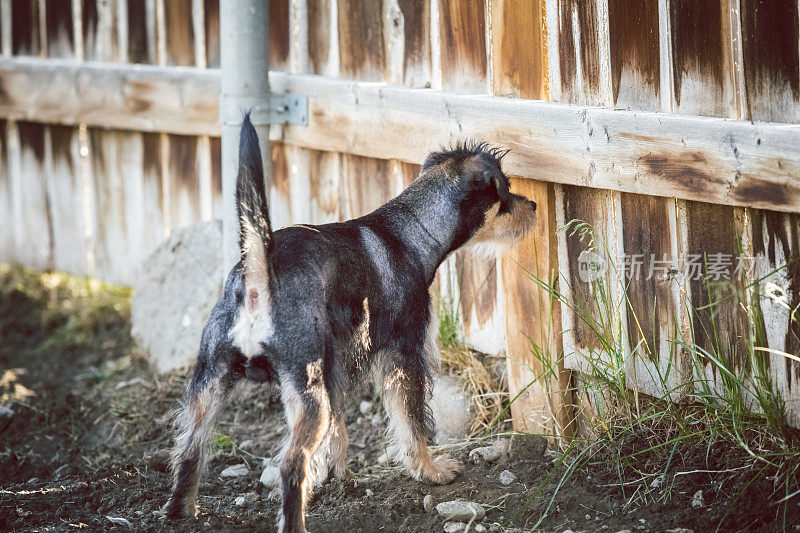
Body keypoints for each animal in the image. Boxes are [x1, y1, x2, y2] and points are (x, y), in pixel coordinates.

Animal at [162, 114, 536, 528]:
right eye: (505, 195)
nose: (534, 205)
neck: (410, 230)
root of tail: (259, 275)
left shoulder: (336, 369)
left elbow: (338, 432)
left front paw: (339, 477)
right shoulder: (405, 358)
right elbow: (413, 423)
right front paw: (430, 471)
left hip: (211, 381)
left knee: (190, 447)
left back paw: (181, 511)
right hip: (308, 393)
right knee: (290, 463)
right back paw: (295, 523)